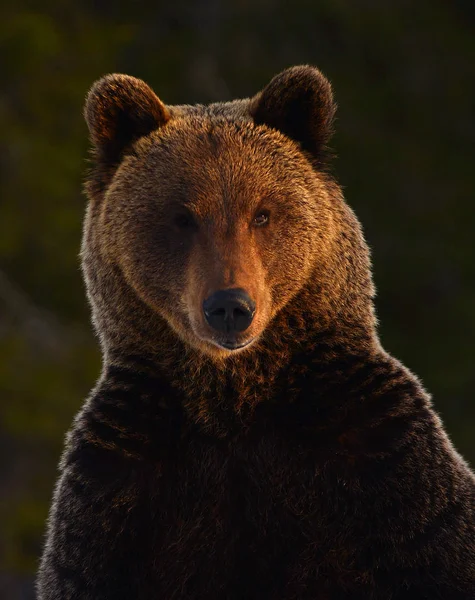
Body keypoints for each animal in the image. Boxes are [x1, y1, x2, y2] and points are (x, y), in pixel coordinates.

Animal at [37, 67, 475, 600]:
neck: (234, 396)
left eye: (262, 213)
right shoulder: (120, 491)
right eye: (182, 217)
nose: (230, 307)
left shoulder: (384, 468)